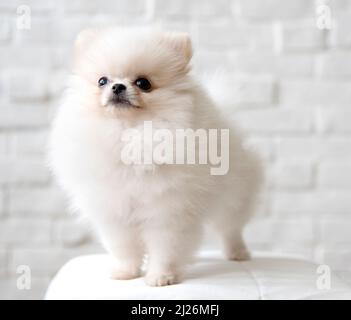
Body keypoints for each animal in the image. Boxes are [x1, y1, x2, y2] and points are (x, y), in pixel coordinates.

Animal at [49, 27, 264, 286]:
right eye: (102, 81)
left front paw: (161, 276)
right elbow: (125, 248)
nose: (117, 86)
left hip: (233, 198)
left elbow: (165, 249)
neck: (129, 133)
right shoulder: (115, 213)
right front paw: (126, 272)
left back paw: (238, 253)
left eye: (143, 83)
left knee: (231, 229)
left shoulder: (168, 211)